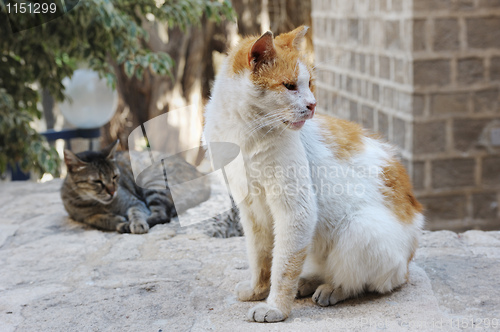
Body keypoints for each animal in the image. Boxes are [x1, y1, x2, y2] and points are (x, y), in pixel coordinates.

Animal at [201, 26, 424, 322]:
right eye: (290, 86)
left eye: (310, 84)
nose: (313, 105)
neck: (243, 133)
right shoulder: (250, 211)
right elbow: (261, 258)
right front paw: (258, 290)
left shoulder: (296, 211)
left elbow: (283, 267)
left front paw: (276, 307)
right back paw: (308, 282)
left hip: (360, 230)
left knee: (363, 282)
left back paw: (331, 289)